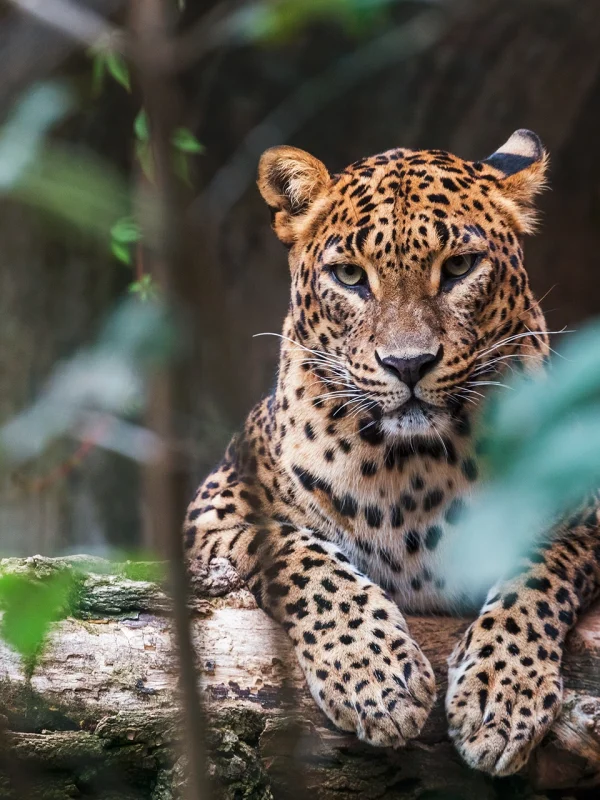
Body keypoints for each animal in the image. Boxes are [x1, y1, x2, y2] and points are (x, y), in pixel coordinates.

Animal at [185, 129, 600, 776]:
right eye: (350, 276)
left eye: (458, 267)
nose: (408, 364)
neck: (417, 466)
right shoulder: (216, 509)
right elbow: (303, 556)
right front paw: (376, 679)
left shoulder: (585, 513)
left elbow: (538, 573)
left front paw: (500, 698)